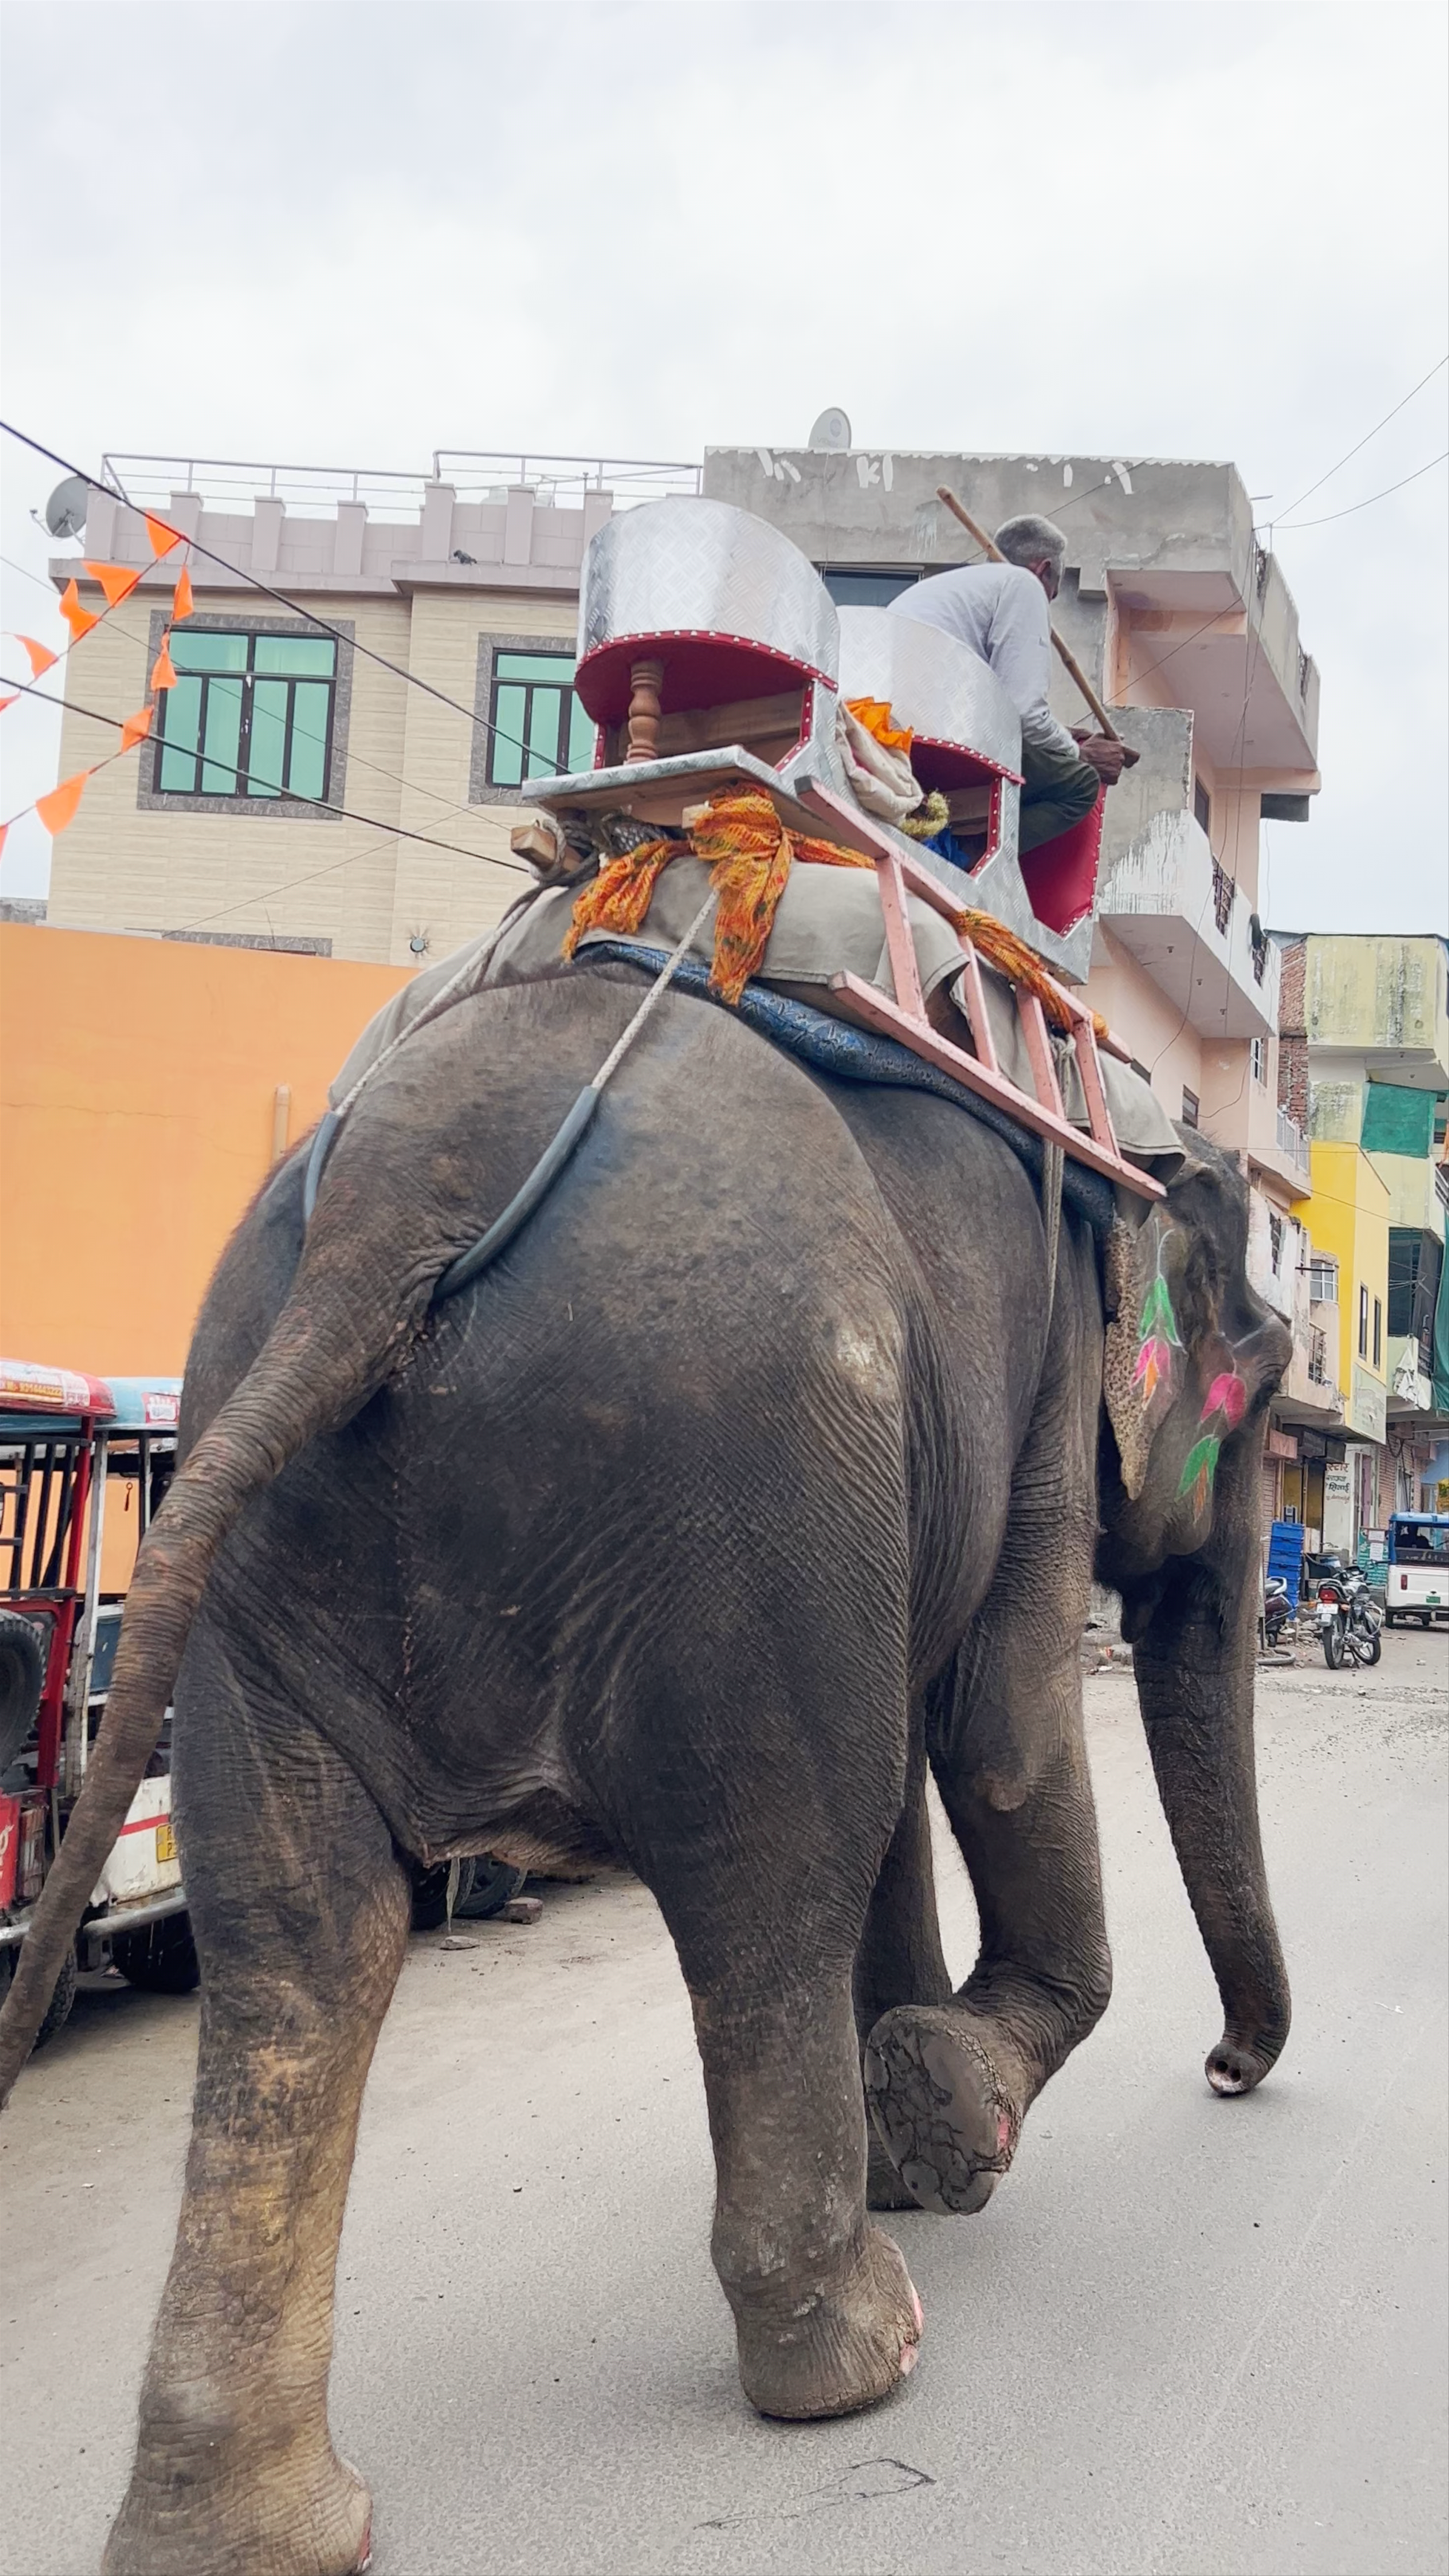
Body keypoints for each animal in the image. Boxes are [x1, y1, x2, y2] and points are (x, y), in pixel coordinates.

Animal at [0, 950, 1292, 2576]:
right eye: (1268, 1389)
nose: (1228, 2070)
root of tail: (395, 1202)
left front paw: (911, 2123)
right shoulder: (1044, 1396)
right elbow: (992, 1729)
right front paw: (946, 2111)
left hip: (269, 1539)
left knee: (298, 1937)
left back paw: (250, 2529)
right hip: (736, 1479)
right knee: (772, 1867)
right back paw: (859, 2352)